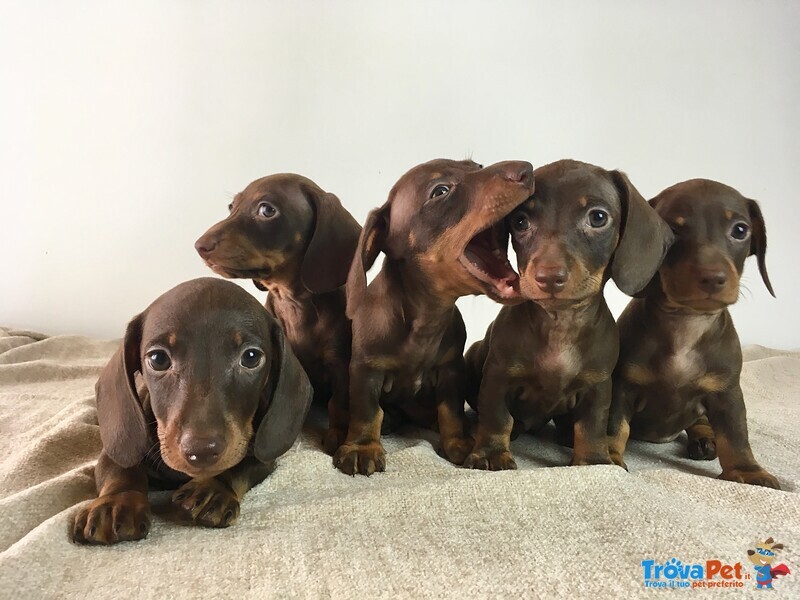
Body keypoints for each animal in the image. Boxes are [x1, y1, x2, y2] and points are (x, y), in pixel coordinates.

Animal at [72, 278, 312, 544]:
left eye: (251, 357)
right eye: (158, 359)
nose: (201, 451)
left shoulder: (262, 453)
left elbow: (242, 466)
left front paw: (214, 488)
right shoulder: (118, 446)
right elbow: (121, 466)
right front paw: (119, 501)